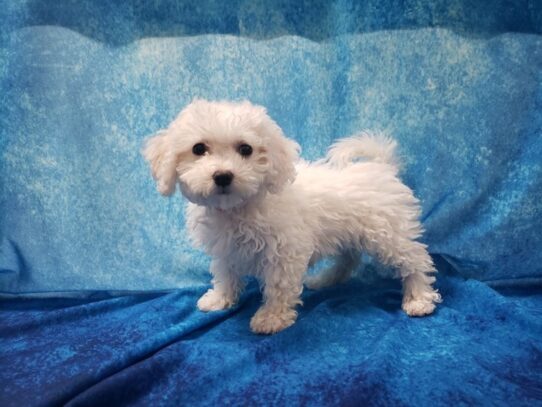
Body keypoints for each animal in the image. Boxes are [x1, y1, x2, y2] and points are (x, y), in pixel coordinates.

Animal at [143, 99, 442, 334]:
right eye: (198, 149)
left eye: (246, 149)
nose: (223, 176)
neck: (239, 208)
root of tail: (381, 166)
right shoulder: (226, 250)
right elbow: (225, 274)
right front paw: (220, 299)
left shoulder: (283, 252)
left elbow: (278, 286)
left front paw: (271, 318)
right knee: (349, 258)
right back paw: (326, 280)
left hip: (388, 234)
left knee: (415, 260)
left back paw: (419, 298)